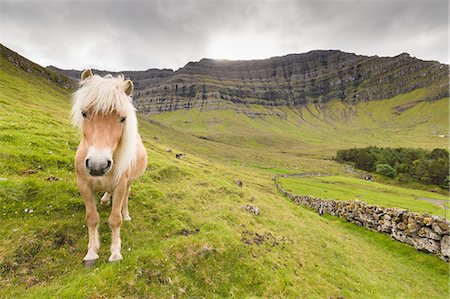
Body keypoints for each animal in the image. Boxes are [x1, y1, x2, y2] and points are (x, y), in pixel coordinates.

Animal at [71, 68, 147, 264]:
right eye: (84, 113)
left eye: (122, 118)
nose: (98, 165)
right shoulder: (83, 185)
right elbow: (91, 218)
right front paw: (92, 252)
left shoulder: (120, 184)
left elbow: (115, 219)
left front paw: (115, 252)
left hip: (129, 183)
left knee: (126, 198)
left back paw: (126, 214)